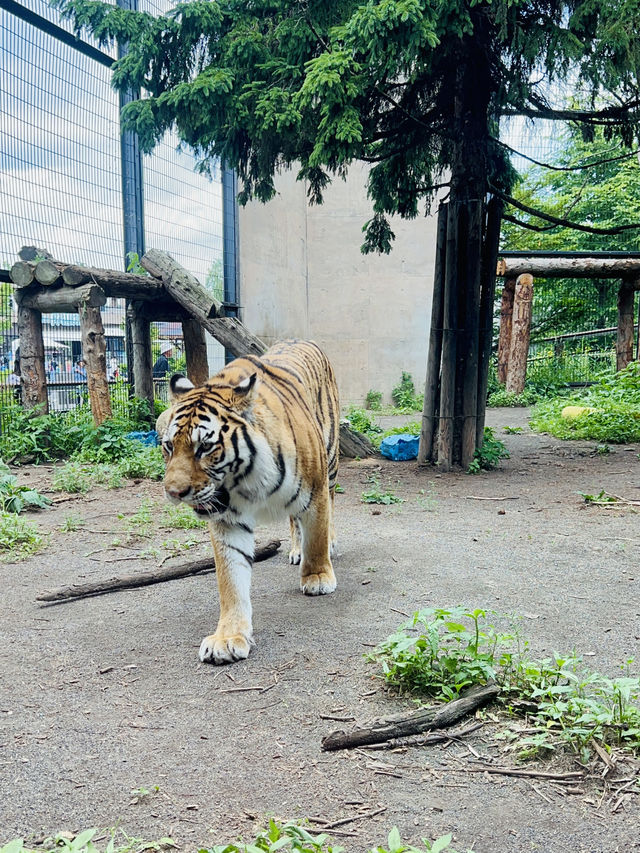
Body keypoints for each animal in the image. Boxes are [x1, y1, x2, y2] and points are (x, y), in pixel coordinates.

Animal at [160, 340, 340, 664]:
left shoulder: (317, 489)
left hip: (331, 462)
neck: (246, 481)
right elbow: (231, 580)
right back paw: (297, 550)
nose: (174, 492)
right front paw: (228, 637)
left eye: (205, 447)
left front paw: (318, 578)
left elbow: (318, 535)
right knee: (294, 520)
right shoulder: (227, 520)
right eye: (168, 446)